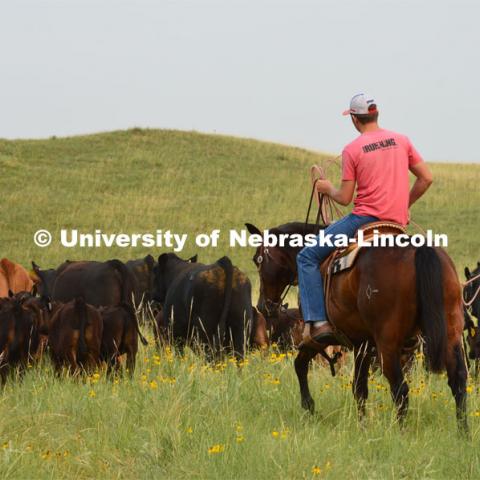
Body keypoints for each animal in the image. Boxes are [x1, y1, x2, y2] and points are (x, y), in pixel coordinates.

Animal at [248, 223, 468, 434]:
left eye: (257, 260)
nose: (262, 306)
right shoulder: (363, 343)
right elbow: (359, 387)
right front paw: (362, 426)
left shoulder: (322, 339)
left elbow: (300, 365)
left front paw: (310, 408)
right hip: (450, 335)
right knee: (458, 381)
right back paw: (463, 434)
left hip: (388, 345)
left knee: (400, 389)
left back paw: (402, 434)